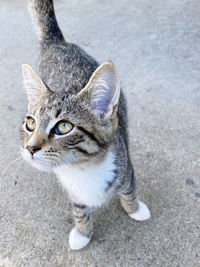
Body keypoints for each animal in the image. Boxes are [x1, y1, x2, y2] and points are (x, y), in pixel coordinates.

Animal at [21, 0, 151, 251]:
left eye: (63, 127)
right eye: (30, 123)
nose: (30, 147)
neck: (83, 168)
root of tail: (57, 43)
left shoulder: (126, 167)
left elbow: (130, 191)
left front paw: (136, 209)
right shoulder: (75, 194)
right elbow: (80, 211)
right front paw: (82, 233)